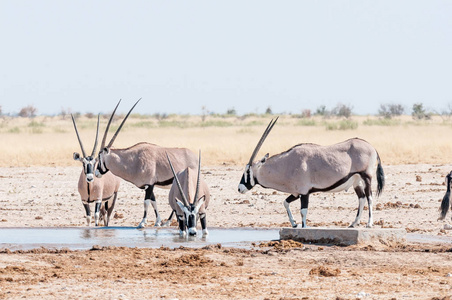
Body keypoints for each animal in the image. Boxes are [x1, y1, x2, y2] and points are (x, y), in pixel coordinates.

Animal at [237, 117, 384, 227]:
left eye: (248, 171)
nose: (239, 188)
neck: (286, 164)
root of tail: (372, 147)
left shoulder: (304, 192)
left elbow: (303, 211)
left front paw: (303, 227)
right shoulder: (296, 193)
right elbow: (285, 203)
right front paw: (294, 224)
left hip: (366, 177)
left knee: (369, 197)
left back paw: (369, 223)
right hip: (356, 182)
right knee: (362, 198)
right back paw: (353, 223)